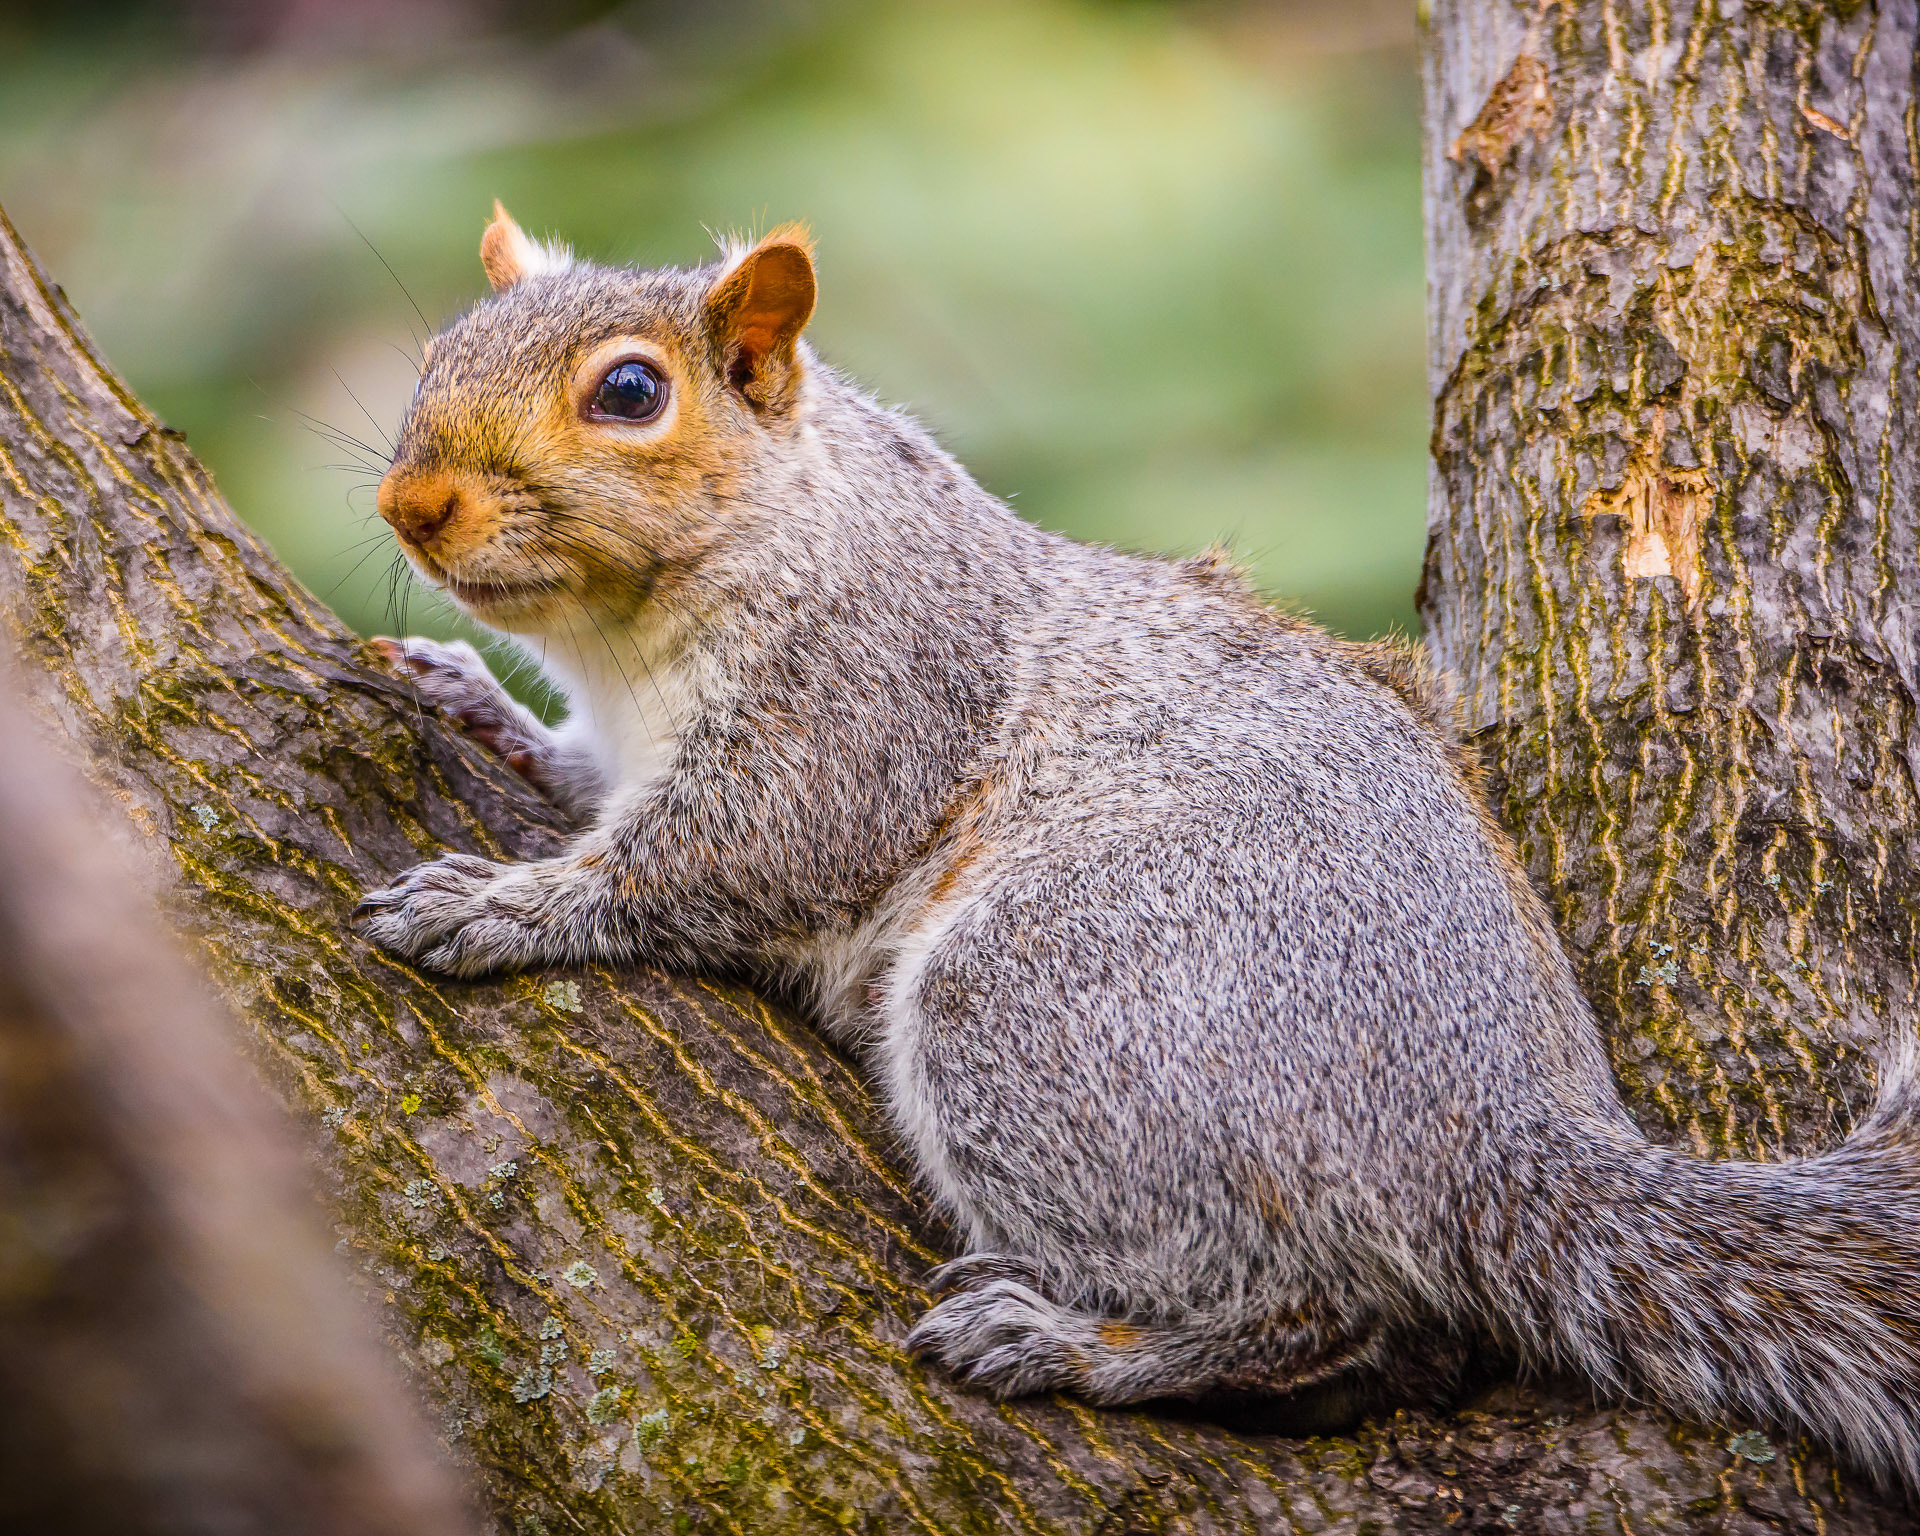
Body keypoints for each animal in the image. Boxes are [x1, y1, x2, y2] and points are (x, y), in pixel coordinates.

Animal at [357, 207, 1920, 1489]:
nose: (409, 503)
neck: (630, 637)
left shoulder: (857, 703)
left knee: (1321, 1311)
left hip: (1049, 1005)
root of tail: (1485, 1126)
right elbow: (577, 774)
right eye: (435, 349)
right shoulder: (626, 737)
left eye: (630, 391)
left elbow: (709, 861)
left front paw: (503, 906)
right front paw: (469, 695)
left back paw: (1077, 1345)